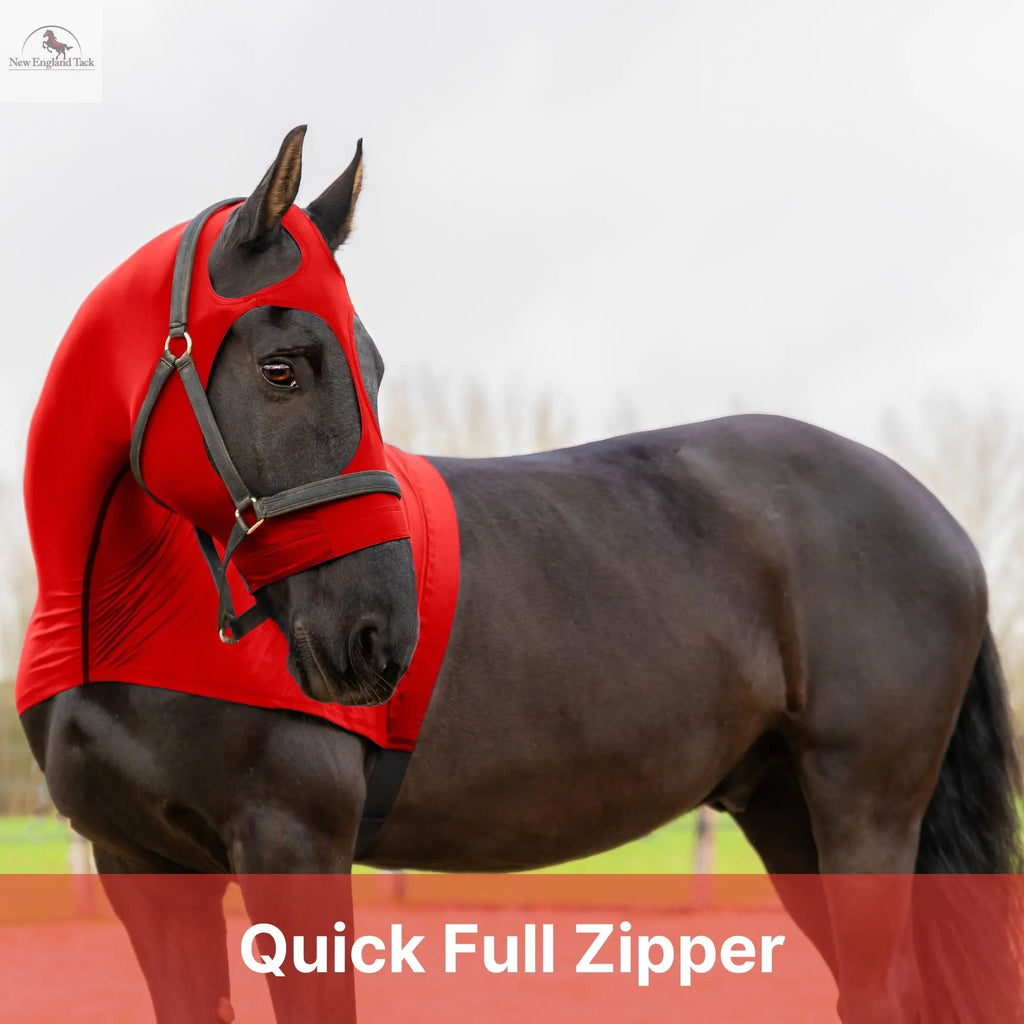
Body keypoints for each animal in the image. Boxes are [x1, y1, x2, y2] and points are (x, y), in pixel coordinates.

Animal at [18, 126, 1022, 1024]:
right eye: (282, 368)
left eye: (372, 368)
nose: (377, 636)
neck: (129, 628)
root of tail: (936, 519)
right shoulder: (139, 867)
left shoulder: (292, 844)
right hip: (785, 811)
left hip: (865, 811)